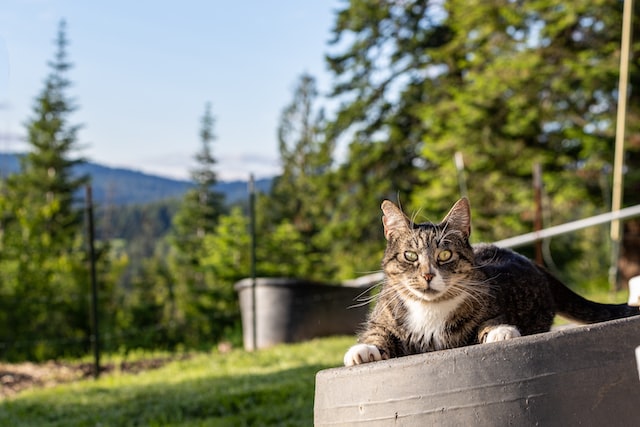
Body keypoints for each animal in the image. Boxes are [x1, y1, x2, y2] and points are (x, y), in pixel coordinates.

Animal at [344, 199, 640, 366]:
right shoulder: (382, 320)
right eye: (410, 256)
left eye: (444, 255)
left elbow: (489, 322)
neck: (429, 309)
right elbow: (377, 334)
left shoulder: (492, 307)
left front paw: (500, 332)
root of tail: (534, 263)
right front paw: (362, 350)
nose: (428, 275)